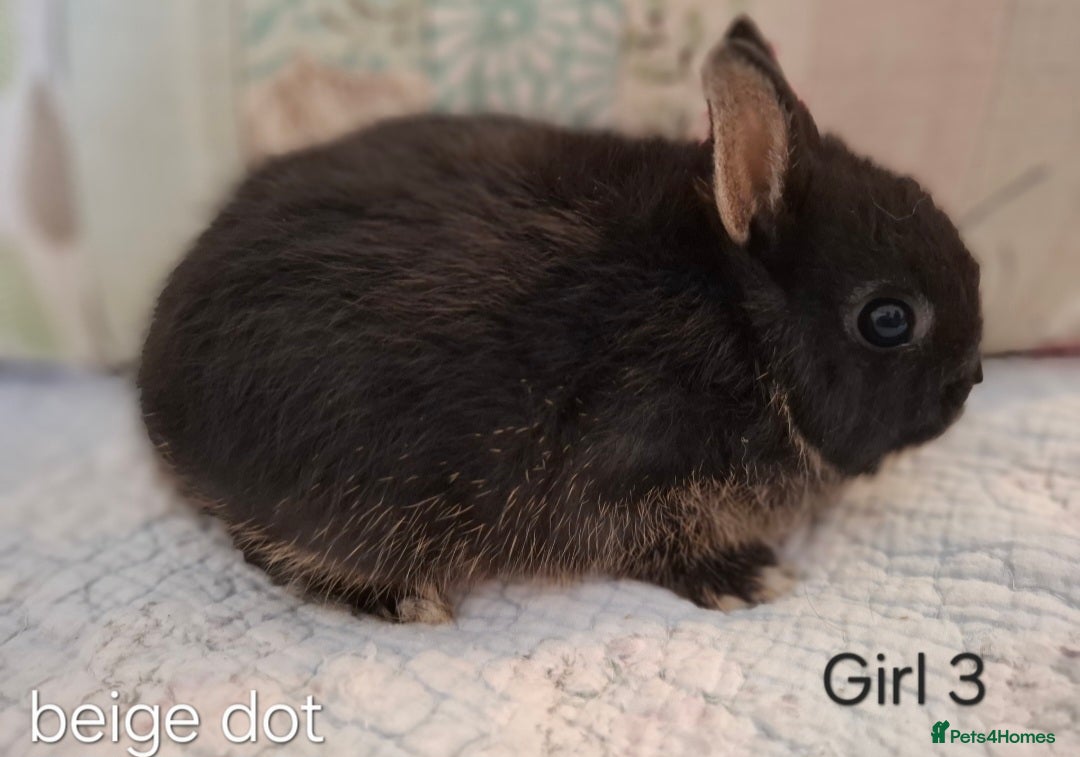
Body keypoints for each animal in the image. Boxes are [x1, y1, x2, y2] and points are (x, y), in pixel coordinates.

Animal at [137, 16, 983, 623]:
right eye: (887, 319)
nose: (971, 379)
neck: (743, 323)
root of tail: (159, 394)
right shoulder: (629, 469)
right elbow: (658, 541)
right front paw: (749, 576)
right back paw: (405, 598)